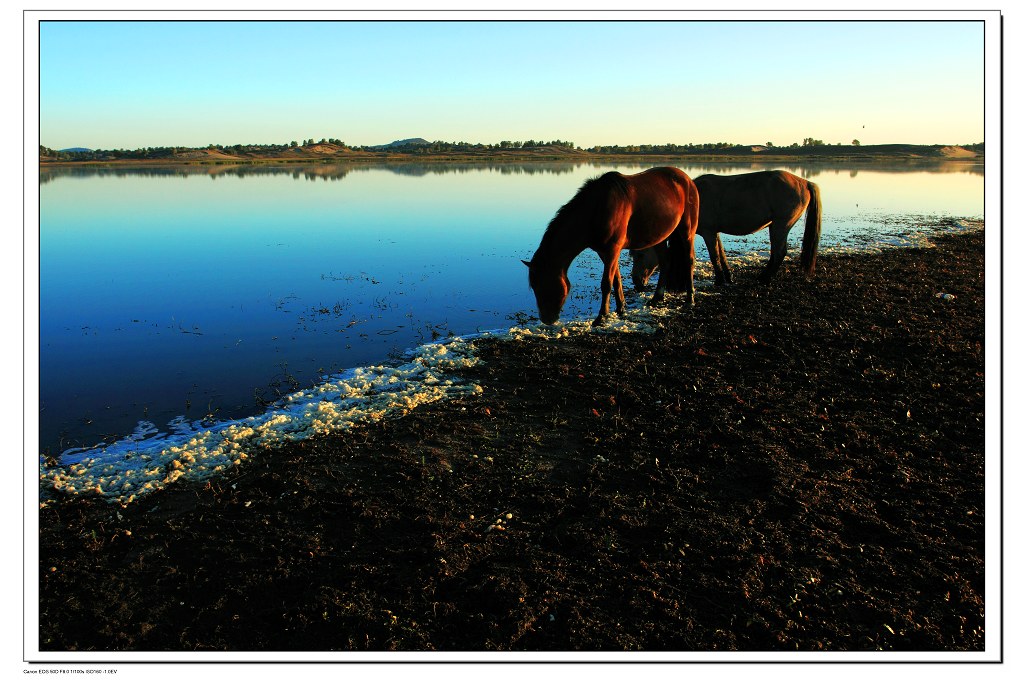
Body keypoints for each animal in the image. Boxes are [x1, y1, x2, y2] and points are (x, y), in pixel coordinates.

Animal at [524, 163, 700, 323]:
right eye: (534, 286)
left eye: (543, 284)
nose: (546, 319)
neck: (596, 210)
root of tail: (687, 180)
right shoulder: (604, 252)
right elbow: (616, 280)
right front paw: (621, 309)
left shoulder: (612, 250)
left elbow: (606, 283)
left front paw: (602, 317)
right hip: (660, 237)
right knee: (665, 263)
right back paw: (657, 298)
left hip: (687, 231)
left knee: (689, 260)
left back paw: (690, 299)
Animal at [626, 169, 819, 288]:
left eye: (640, 255)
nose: (636, 282)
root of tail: (804, 181)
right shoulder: (715, 232)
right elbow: (722, 255)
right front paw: (728, 277)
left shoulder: (708, 232)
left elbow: (715, 256)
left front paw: (719, 280)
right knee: (776, 253)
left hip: (780, 225)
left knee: (779, 252)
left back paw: (765, 278)